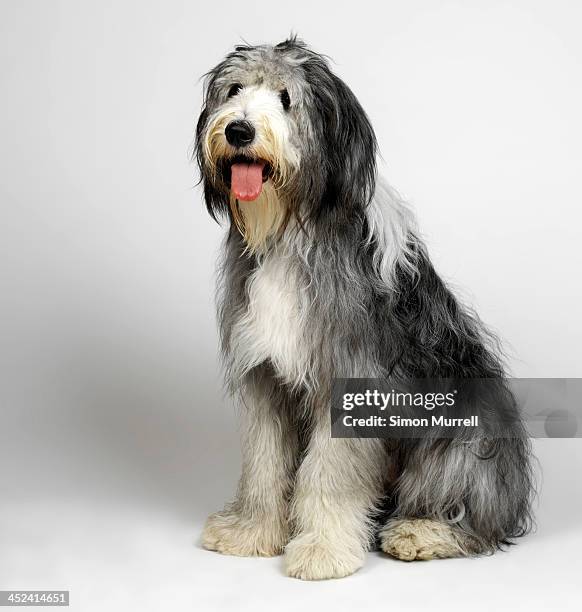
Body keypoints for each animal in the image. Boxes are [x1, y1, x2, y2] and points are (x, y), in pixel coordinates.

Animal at [195, 35, 532, 580]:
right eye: (235, 90)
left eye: (286, 98)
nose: (239, 130)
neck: (290, 231)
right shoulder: (265, 376)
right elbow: (264, 462)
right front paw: (252, 532)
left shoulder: (351, 378)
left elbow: (330, 472)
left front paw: (321, 549)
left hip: (464, 436)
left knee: (475, 518)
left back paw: (422, 533)